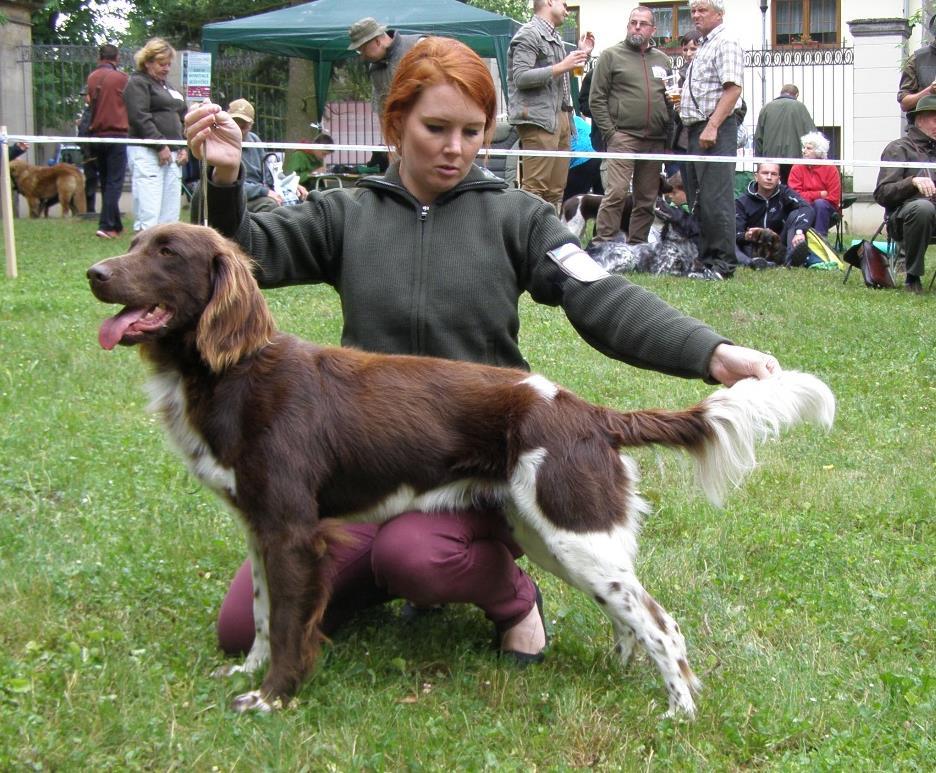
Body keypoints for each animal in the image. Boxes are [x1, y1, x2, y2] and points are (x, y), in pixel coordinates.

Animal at [86, 223, 832, 716]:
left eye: (167, 252)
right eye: (136, 241)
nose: (94, 273)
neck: (232, 371)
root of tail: (589, 411)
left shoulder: (294, 530)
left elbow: (293, 625)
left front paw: (271, 698)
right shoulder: (260, 526)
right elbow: (267, 615)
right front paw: (246, 672)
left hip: (572, 532)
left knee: (661, 622)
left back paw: (678, 710)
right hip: (551, 534)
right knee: (628, 612)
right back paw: (622, 671)